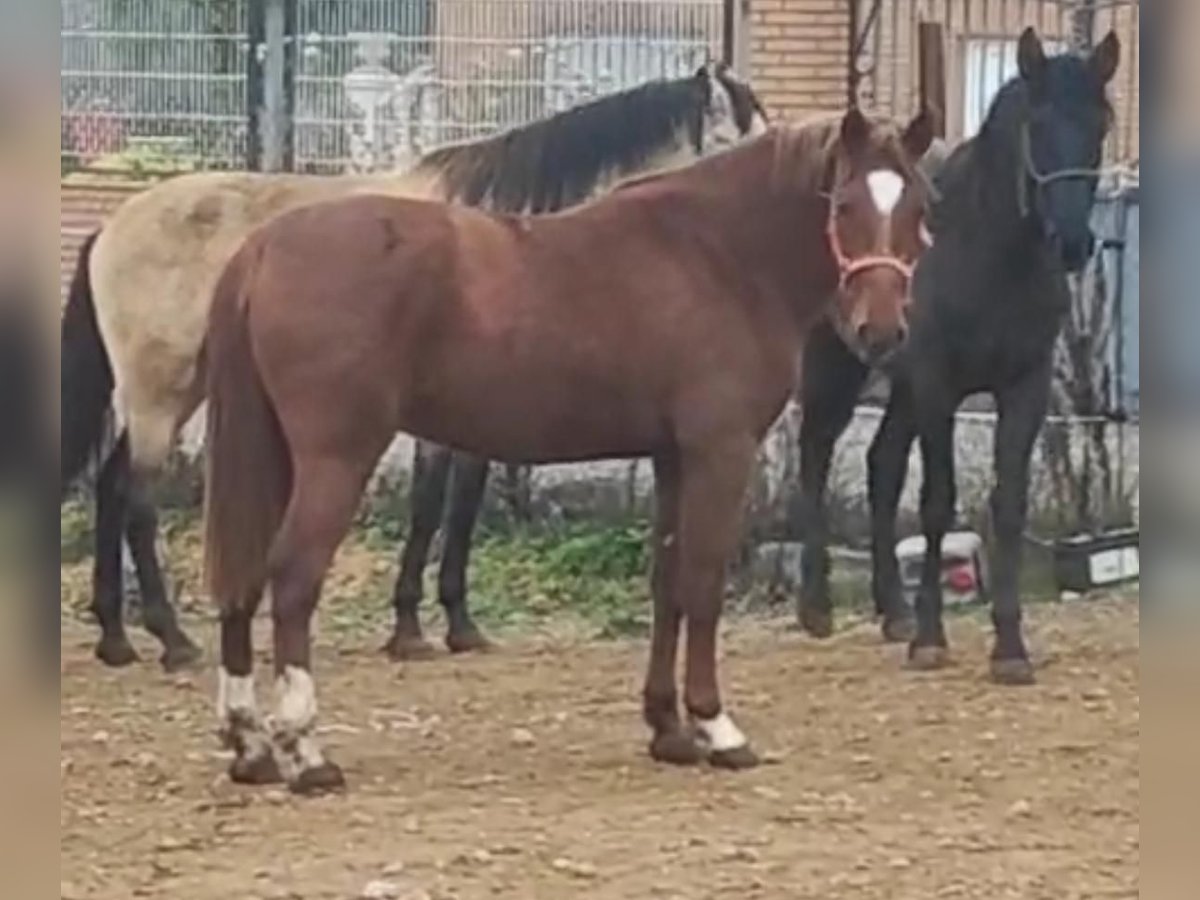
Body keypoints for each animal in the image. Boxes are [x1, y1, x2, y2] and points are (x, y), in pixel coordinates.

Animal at [56, 61, 763, 672]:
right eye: (741, 141)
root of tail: (110, 228)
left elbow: (458, 505)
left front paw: (456, 624)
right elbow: (431, 505)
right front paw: (412, 629)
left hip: (177, 392)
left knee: (110, 487)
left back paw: (117, 638)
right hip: (161, 393)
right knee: (136, 498)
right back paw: (172, 639)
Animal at [201, 107, 936, 796]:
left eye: (921, 206)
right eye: (844, 205)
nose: (881, 332)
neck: (718, 256)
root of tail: (263, 246)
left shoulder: (673, 456)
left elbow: (667, 583)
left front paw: (667, 728)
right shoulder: (719, 451)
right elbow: (702, 584)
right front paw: (716, 726)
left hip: (271, 455)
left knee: (243, 576)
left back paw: (250, 745)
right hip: (336, 458)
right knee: (293, 578)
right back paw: (305, 751)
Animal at [796, 28, 1123, 686]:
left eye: (1100, 122)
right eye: (1038, 123)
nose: (1073, 243)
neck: (985, 250)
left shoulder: (1023, 387)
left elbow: (1008, 505)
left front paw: (1010, 647)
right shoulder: (936, 382)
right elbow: (937, 502)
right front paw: (930, 640)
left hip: (896, 384)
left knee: (881, 465)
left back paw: (892, 612)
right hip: (839, 367)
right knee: (815, 455)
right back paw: (816, 607)